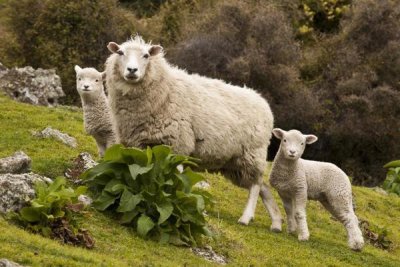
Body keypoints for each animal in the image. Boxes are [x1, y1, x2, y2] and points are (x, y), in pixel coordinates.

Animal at [104, 35, 282, 231]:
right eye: (120, 52)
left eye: (146, 55)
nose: (132, 70)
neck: (164, 90)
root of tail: (263, 102)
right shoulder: (140, 146)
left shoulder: (177, 144)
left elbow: (177, 178)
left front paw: (177, 200)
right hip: (234, 164)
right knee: (263, 186)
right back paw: (276, 222)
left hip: (252, 154)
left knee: (256, 186)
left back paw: (246, 217)